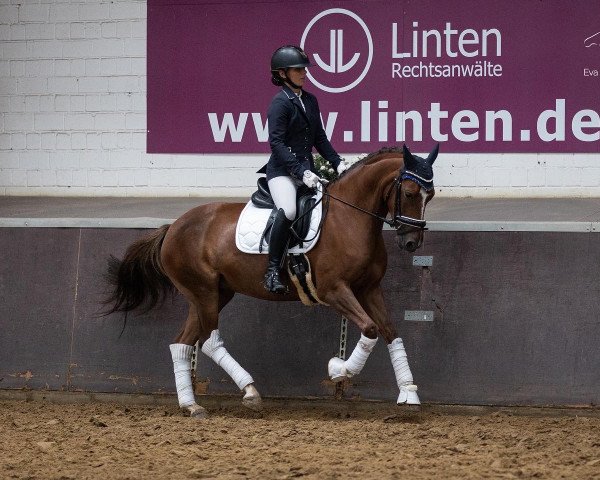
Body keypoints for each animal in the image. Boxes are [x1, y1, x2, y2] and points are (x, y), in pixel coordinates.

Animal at [105, 142, 438, 416]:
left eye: (431, 195)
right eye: (409, 193)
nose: (412, 243)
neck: (349, 218)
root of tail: (172, 227)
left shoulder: (369, 289)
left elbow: (390, 331)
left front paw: (409, 393)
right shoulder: (334, 290)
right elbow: (370, 329)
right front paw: (338, 370)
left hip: (213, 293)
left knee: (182, 343)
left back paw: (191, 405)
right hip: (204, 292)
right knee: (209, 341)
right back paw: (249, 391)